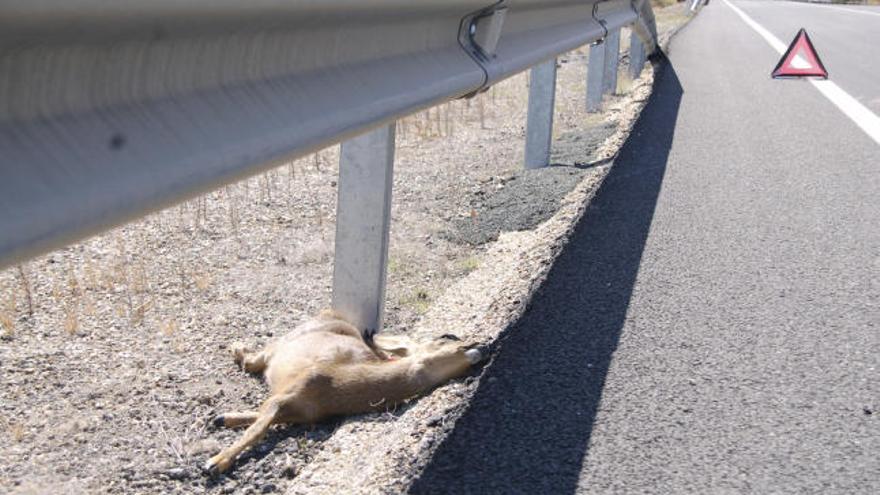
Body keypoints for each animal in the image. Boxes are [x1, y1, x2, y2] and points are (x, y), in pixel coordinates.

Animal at [204, 308, 484, 474]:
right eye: (447, 337)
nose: (371, 334)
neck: (337, 387)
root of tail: (330, 313)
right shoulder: (287, 393)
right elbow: (257, 428)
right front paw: (216, 462)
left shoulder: (297, 409)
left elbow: (264, 422)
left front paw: (222, 426)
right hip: (285, 341)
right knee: (254, 359)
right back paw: (236, 346)